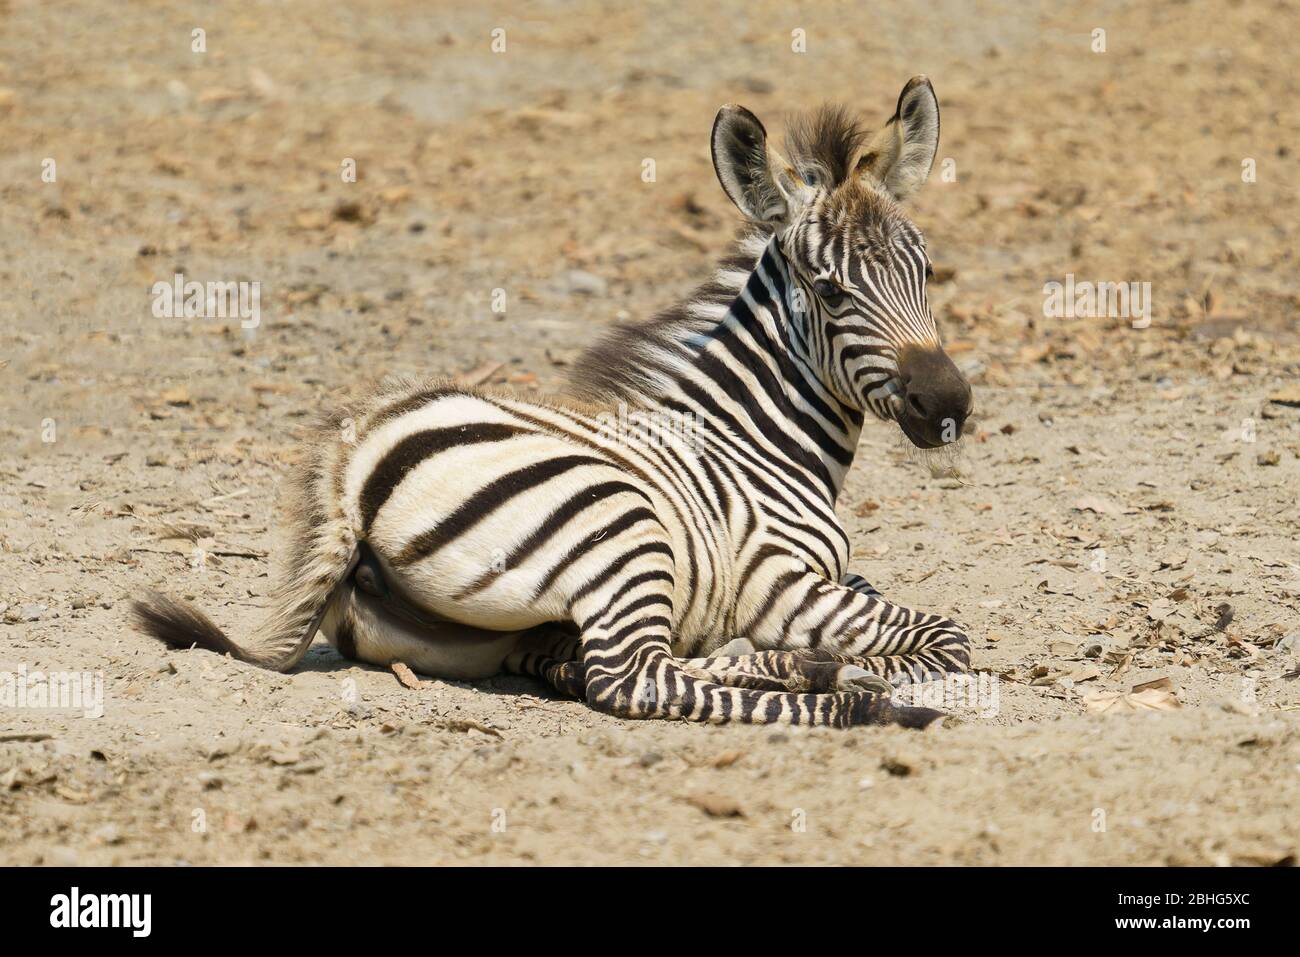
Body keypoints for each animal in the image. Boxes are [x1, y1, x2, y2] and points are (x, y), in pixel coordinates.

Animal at [134, 77, 975, 729]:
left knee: (597, 662)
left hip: (479, 630)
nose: (947, 401)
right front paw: (858, 668)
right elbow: (947, 637)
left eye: (929, 271)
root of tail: (352, 465)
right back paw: (850, 696)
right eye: (830, 292)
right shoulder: (780, 582)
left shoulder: (832, 576)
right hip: (623, 524)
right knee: (631, 677)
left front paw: (813, 656)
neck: (755, 440)